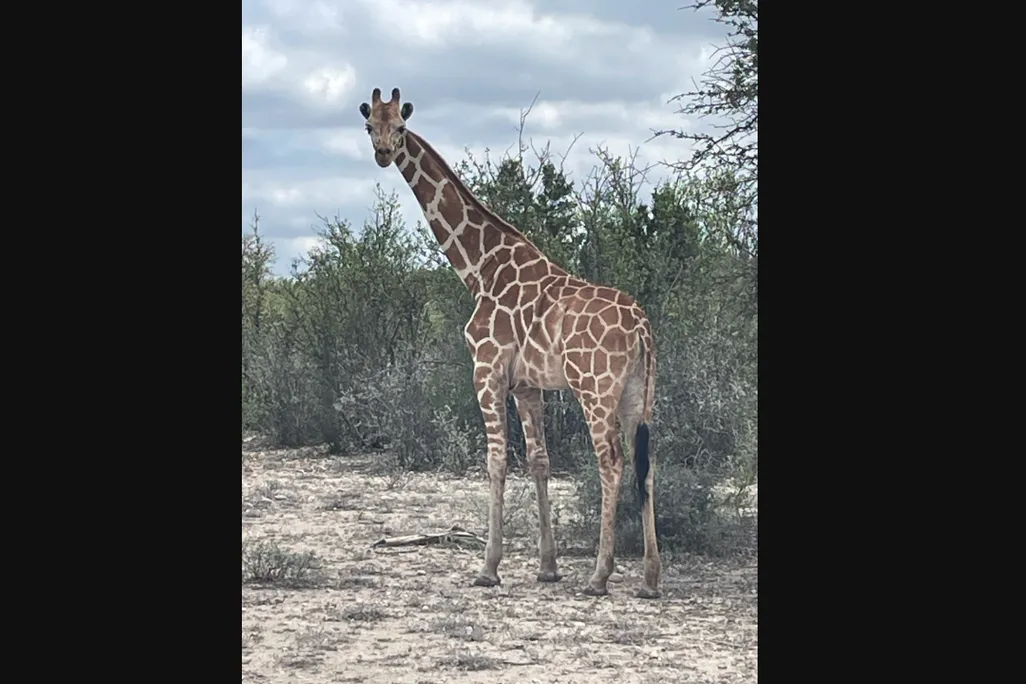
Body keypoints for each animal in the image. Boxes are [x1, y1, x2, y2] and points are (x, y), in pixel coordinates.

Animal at [359, 87, 661, 598]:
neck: (479, 268)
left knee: (612, 463)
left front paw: (488, 567)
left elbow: (496, 460)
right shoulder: (527, 384)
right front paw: (547, 566)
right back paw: (650, 578)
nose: (382, 153)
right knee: (647, 463)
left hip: (595, 389)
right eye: (369, 126)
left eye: (400, 126)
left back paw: (600, 576)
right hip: (639, 394)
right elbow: (539, 461)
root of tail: (641, 326)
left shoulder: (487, 370)